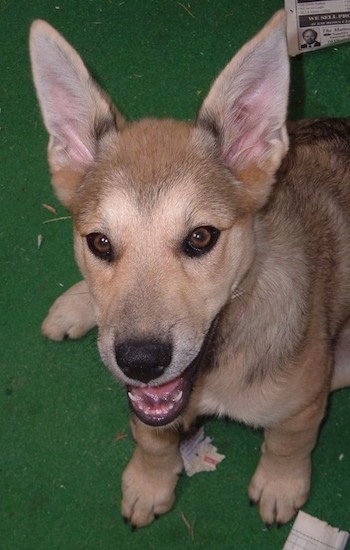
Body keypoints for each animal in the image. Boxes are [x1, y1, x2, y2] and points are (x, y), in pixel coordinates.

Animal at [29, 11, 350, 532]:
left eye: (201, 237)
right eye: (99, 242)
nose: (140, 361)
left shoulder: (303, 406)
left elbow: (287, 444)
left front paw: (281, 484)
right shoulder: (149, 405)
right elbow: (150, 438)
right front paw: (150, 481)